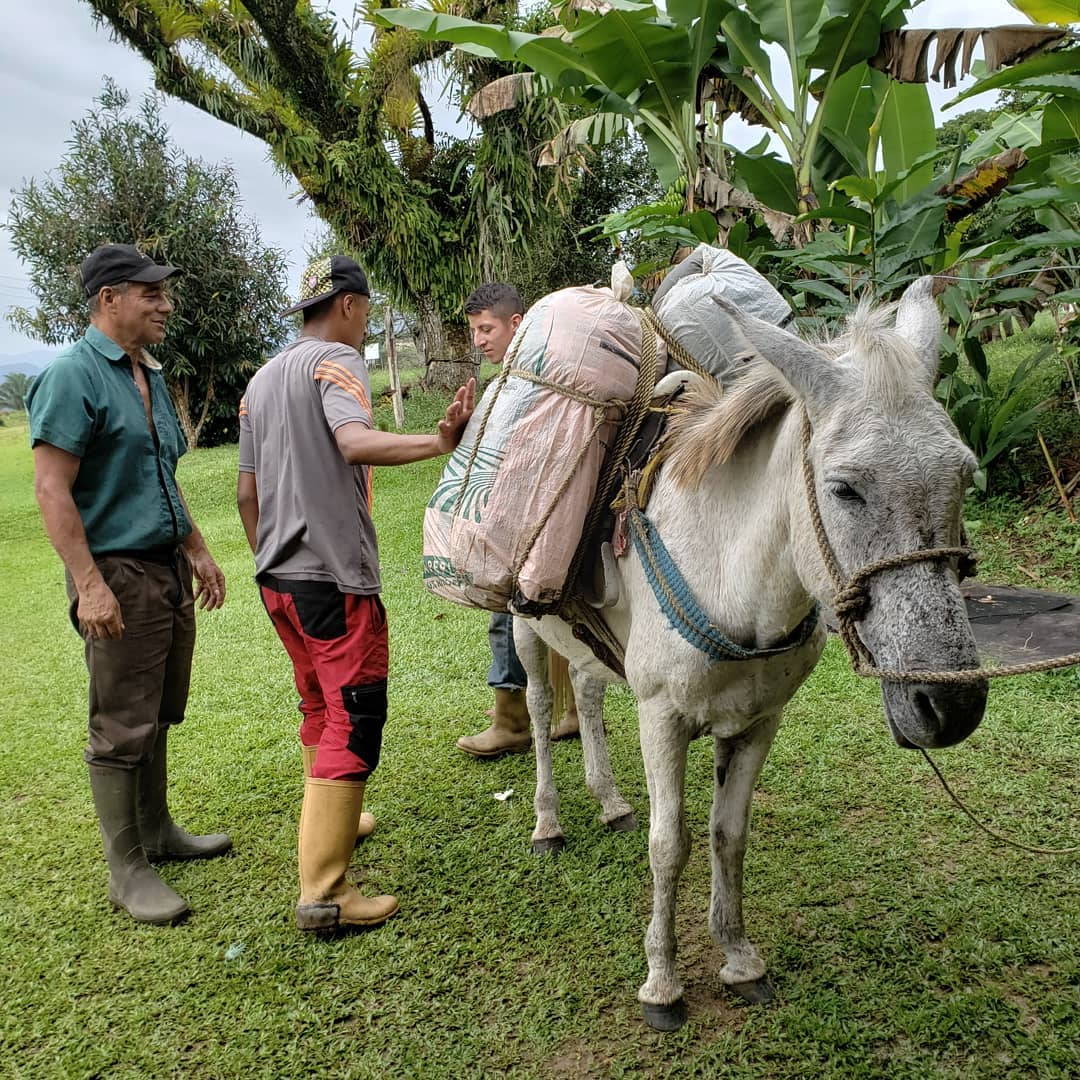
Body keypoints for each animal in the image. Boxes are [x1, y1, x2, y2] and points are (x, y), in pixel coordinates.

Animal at [512, 276, 989, 1031]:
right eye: (844, 489)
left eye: (965, 476)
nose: (951, 704)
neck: (729, 574)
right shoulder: (662, 718)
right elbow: (669, 844)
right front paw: (662, 983)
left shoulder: (761, 721)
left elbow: (728, 834)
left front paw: (739, 958)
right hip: (522, 624)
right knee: (535, 710)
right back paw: (548, 821)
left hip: (588, 648)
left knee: (584, 694)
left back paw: (609, 800)